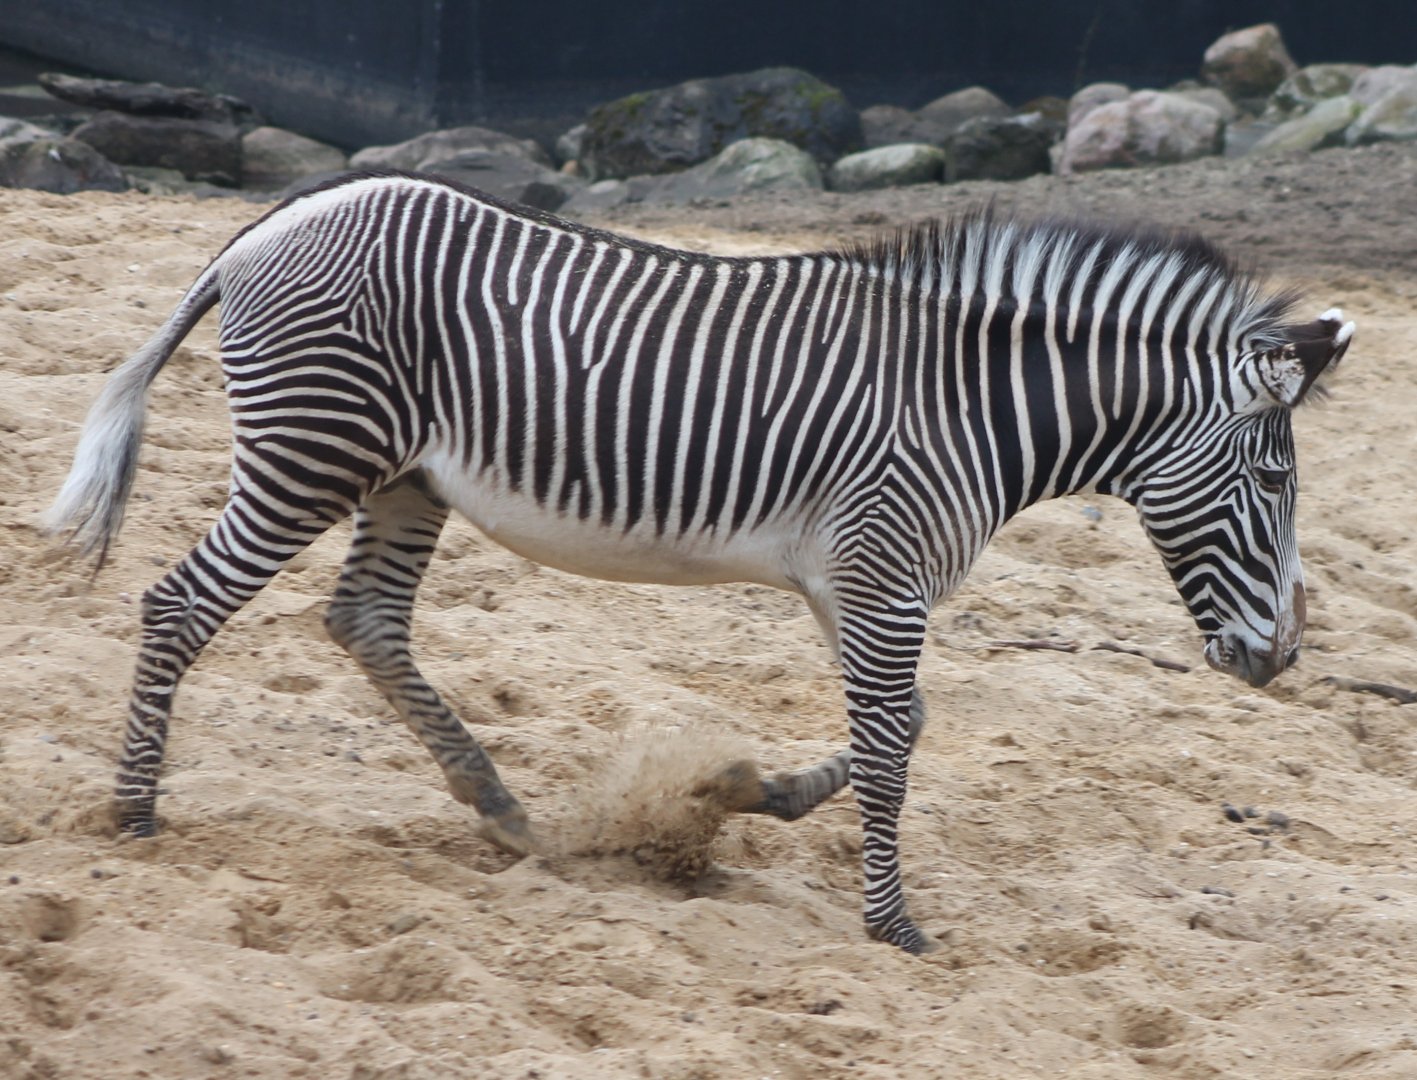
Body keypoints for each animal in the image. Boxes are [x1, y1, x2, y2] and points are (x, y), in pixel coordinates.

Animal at [46, 171, 1354, 954]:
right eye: (1273, 483)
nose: (1281, 660)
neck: (973, 410)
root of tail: (272, 222)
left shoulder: (854, 583)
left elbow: (904, 726)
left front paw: (747, 794)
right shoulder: (882, 575)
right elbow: (894, 746)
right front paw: (892, 924)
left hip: (404, 477)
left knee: (363, 620)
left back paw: (501, 805)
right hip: (312, 453)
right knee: (178, 603)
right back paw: (136, 812)